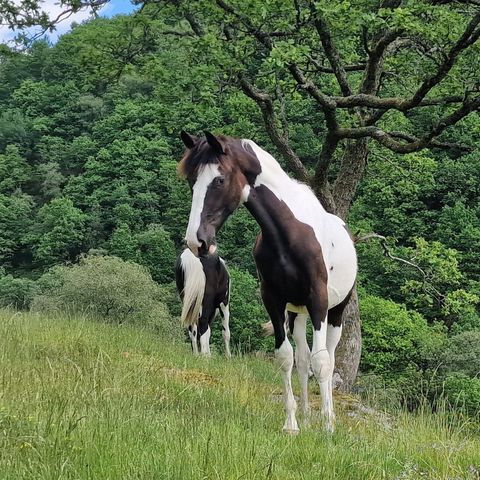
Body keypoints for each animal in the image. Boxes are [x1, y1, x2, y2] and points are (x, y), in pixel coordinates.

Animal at [180, 130, 356, 432]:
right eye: (192, 180)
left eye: (219, 180)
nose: (197, 241)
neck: (290, 234)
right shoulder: (274, 300)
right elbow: (285, 357)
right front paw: (292, 425)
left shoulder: (319, 301)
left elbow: (322, 362)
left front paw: (328, 429)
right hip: (297, 313)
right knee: (303, 358)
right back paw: (307, 416)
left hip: (336, 312)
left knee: (329, 359)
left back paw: (327, 418)